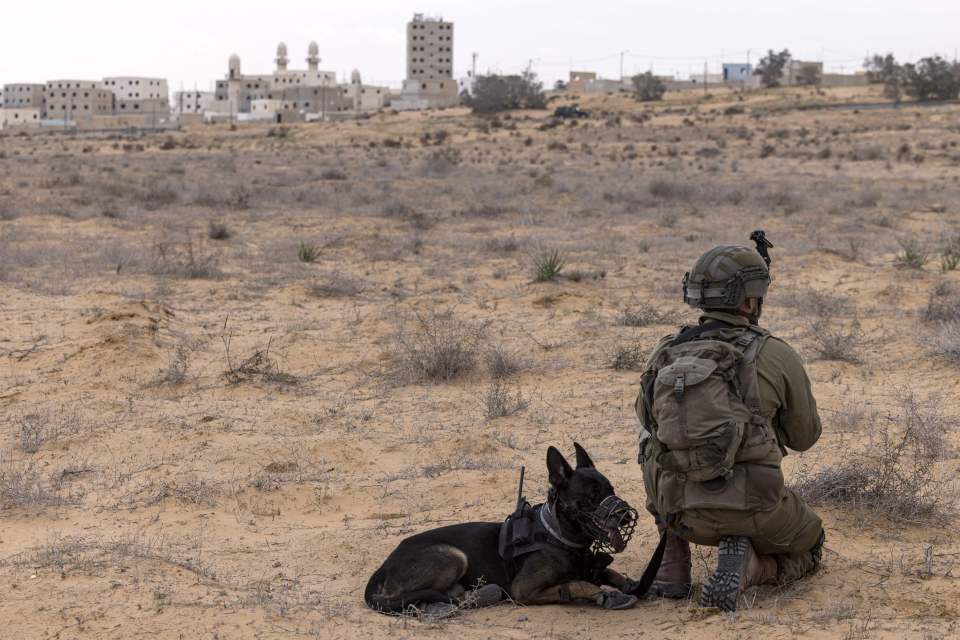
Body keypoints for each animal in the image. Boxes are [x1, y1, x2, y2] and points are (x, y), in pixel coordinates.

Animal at [366, 444, 644, 616]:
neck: (557, 535)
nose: (626, 515)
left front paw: (629, 584)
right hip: (454, 556)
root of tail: (383, 566)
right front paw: (604, 595)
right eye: (592, 495)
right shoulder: (524, 589)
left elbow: (607, 573)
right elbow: (578, 584)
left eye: (610, 489)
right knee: (415, 596)